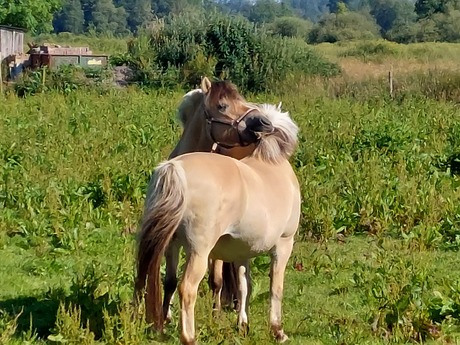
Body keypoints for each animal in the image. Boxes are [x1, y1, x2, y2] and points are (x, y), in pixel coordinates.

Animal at [135, 101, 300, 342]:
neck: (270, 162)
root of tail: (175, 169)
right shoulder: (283, 245)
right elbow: (275, 288)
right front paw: (277, 330)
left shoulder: (241, 253)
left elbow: (244, 286)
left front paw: (243, 325)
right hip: (199, 252)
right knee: (187, 288)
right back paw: (189, 337)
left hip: (170, 246)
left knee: (163, 281)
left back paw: (162, 325)